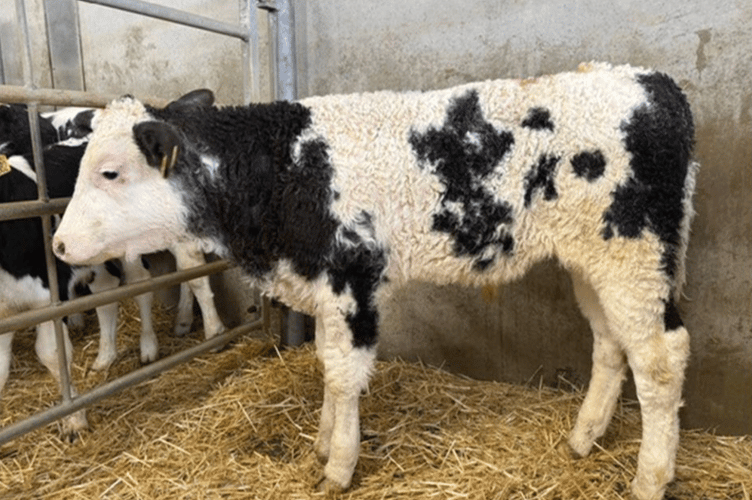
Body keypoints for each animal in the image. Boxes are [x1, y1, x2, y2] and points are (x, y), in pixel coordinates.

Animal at [52, 63, 697, 500]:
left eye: (109, 172)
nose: (58, 244)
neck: (283, 168)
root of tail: (652, 81)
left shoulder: (351, 277)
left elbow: (344, 373)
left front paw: (338, 465)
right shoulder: (322, 284)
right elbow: (326, 364)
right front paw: (322, 442)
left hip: (634, 253)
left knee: (661, 357)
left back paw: (650, 477)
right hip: (593, 262)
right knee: (612, 343)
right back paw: (583, 439)